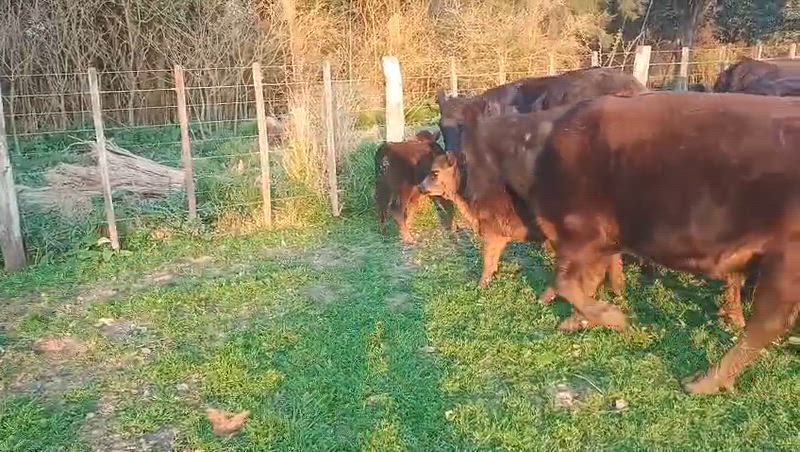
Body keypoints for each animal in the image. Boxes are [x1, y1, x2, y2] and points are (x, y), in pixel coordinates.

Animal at [466, 91, 800, 394]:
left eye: (472, 163)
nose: (474, 218)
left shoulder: (580, 230)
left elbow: (565, 281)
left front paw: (615, 318)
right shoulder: (601, 240)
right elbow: (589, 279)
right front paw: (575, 322)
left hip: (785, 261)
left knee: (769, 321)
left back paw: (700, 383)